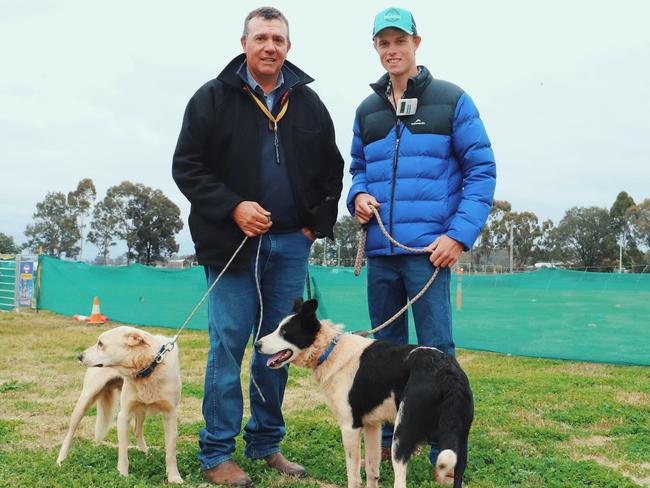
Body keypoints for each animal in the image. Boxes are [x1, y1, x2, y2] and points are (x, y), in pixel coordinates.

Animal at [56, 326, 182, 482]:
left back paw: (146, 453)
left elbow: (170, 452)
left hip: (141, 408)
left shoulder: (170, 415)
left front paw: (174, 477)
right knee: (69, 434)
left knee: (137, 430)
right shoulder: (124, 415)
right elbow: (123, 451)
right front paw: (123, 475)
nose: (79, 356)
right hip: (85, 400)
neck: (148, 368)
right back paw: (60, 461)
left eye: (101, 344)